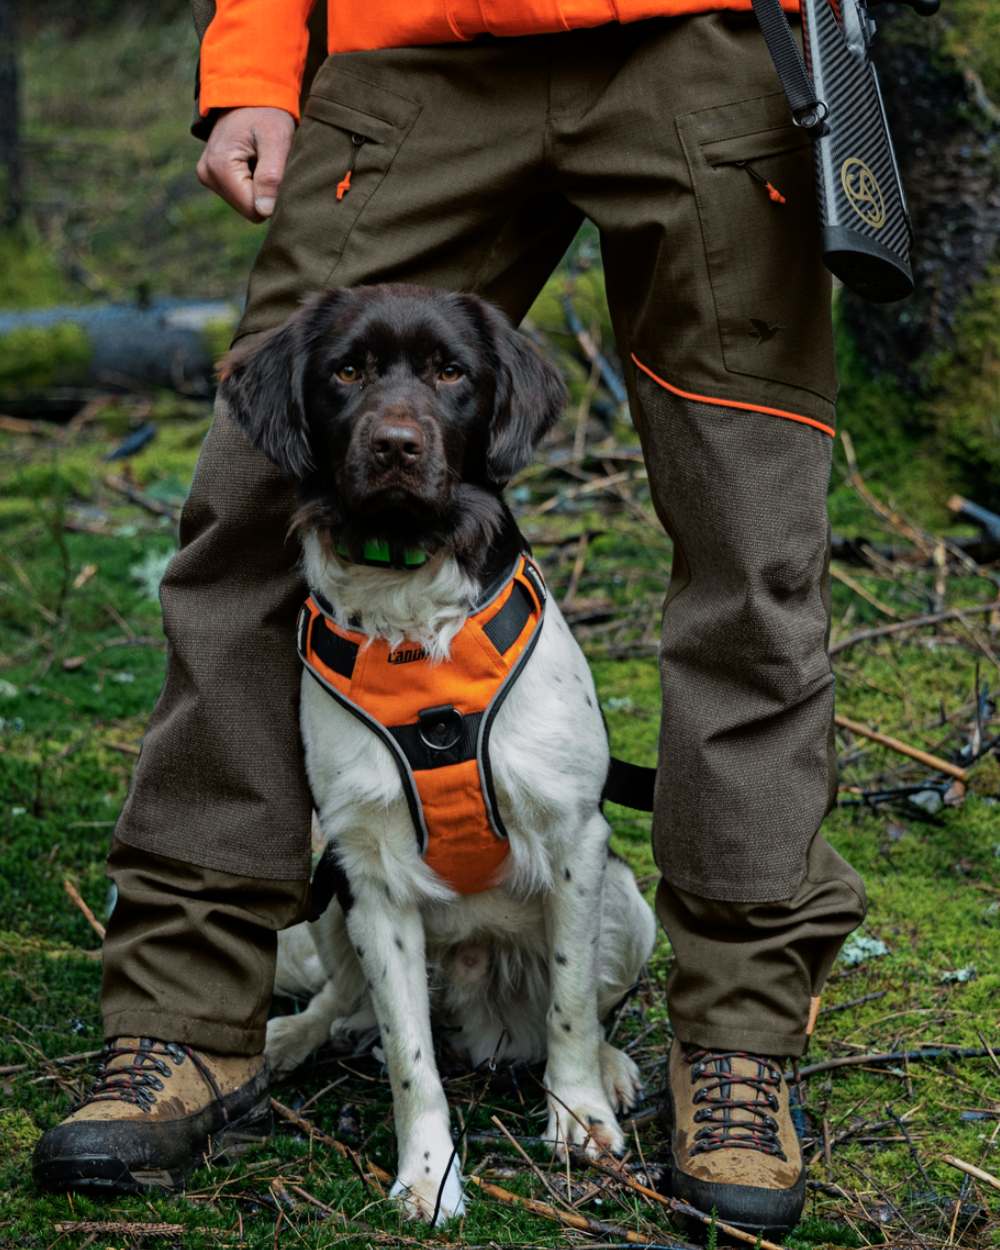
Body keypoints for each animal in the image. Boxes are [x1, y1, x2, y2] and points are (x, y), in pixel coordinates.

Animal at [220, 283, 655, 1220]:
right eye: (346, 371)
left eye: (451, 371)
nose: (394, 444)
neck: (412, 616)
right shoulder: (369, 871)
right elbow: (412, 1060)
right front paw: (428, 1174)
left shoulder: (577, 838)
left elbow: (571, 1003)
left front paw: (579, 1116)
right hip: (330, 893)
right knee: (348, 1001)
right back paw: (294, 1035)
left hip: (628, 905)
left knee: (589, 1002)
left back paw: (608, 1068)